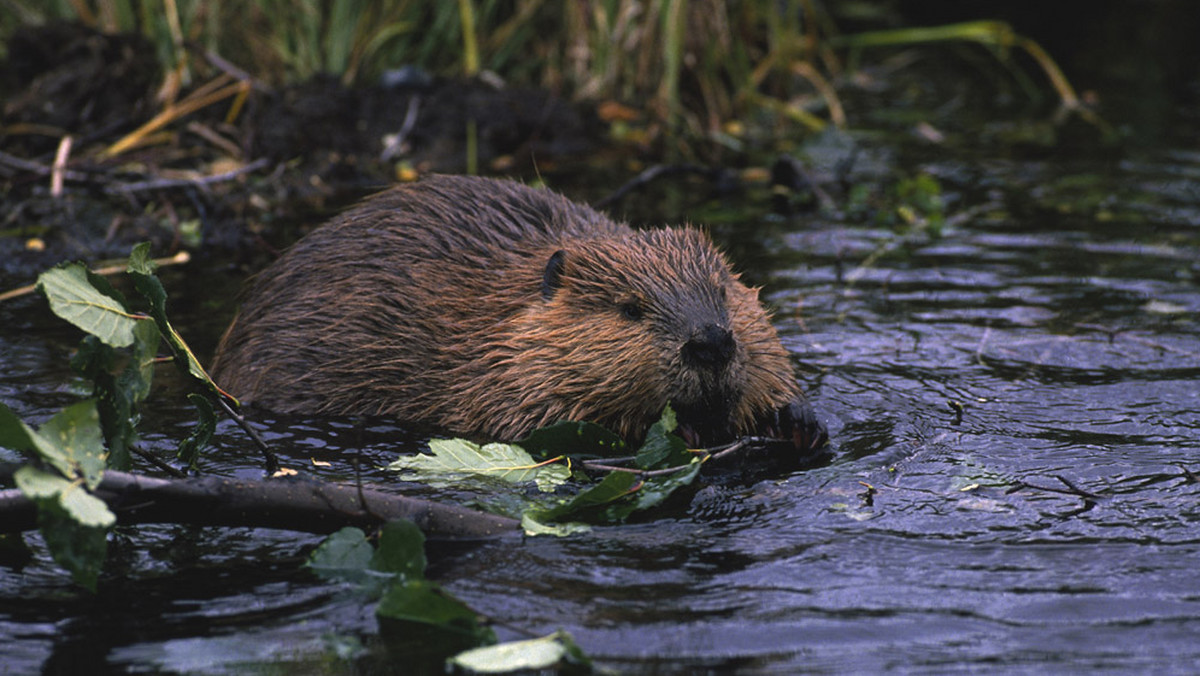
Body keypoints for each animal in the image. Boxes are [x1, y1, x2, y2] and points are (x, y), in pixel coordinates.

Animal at [211, 174, 820, 451]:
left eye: (722, 290)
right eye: (629, 308)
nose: (711, 343)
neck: (499, 311)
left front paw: (796, 418)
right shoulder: (493, 370)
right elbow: (535, 420)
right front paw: (684, 431)